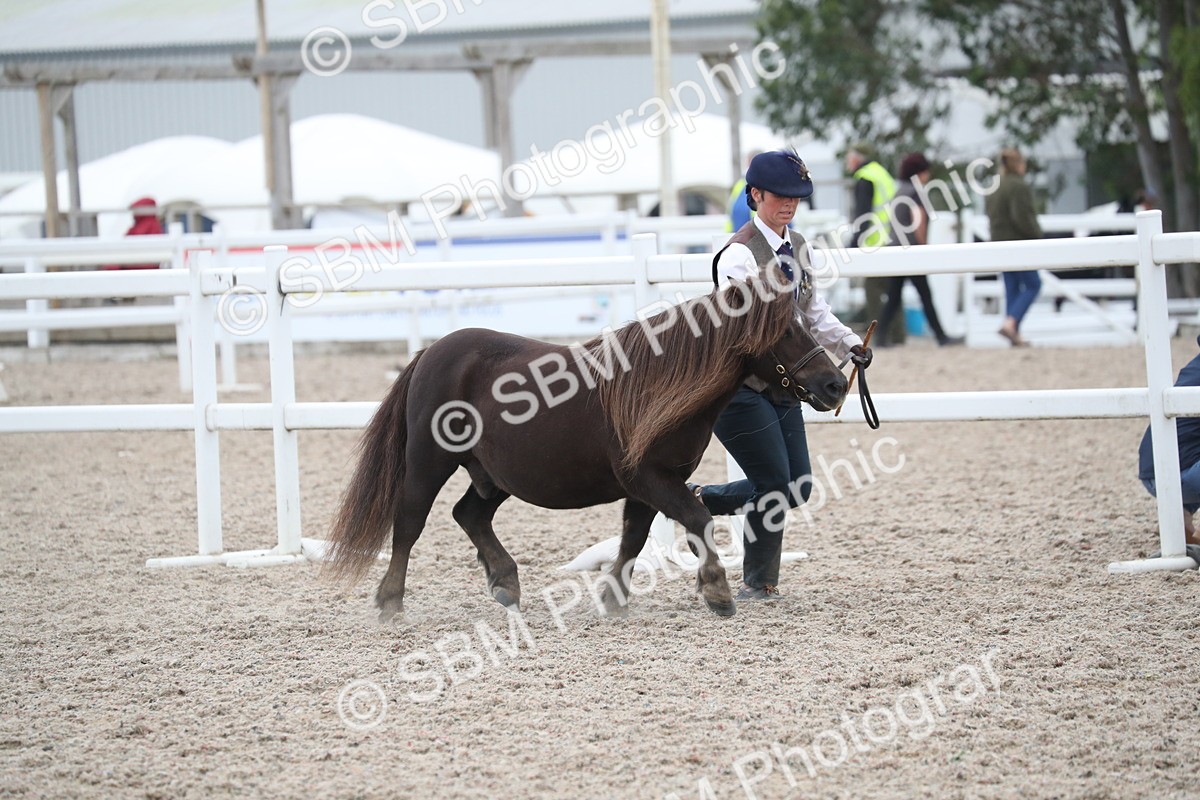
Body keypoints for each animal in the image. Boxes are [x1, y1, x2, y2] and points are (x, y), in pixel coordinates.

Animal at [324, 267, 849, 619]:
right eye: (785, 330)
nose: (836, 384)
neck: (657, 386)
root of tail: (431, 351)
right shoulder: (649, 478)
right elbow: (698, 520)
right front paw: (718, 591)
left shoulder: (653, 484)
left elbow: (635, 537)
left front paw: (614, 597)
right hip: (429, 462)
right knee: (410, 522)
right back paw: (390, 601)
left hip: (495, 475)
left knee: (468, 514)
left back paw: (506, 584)